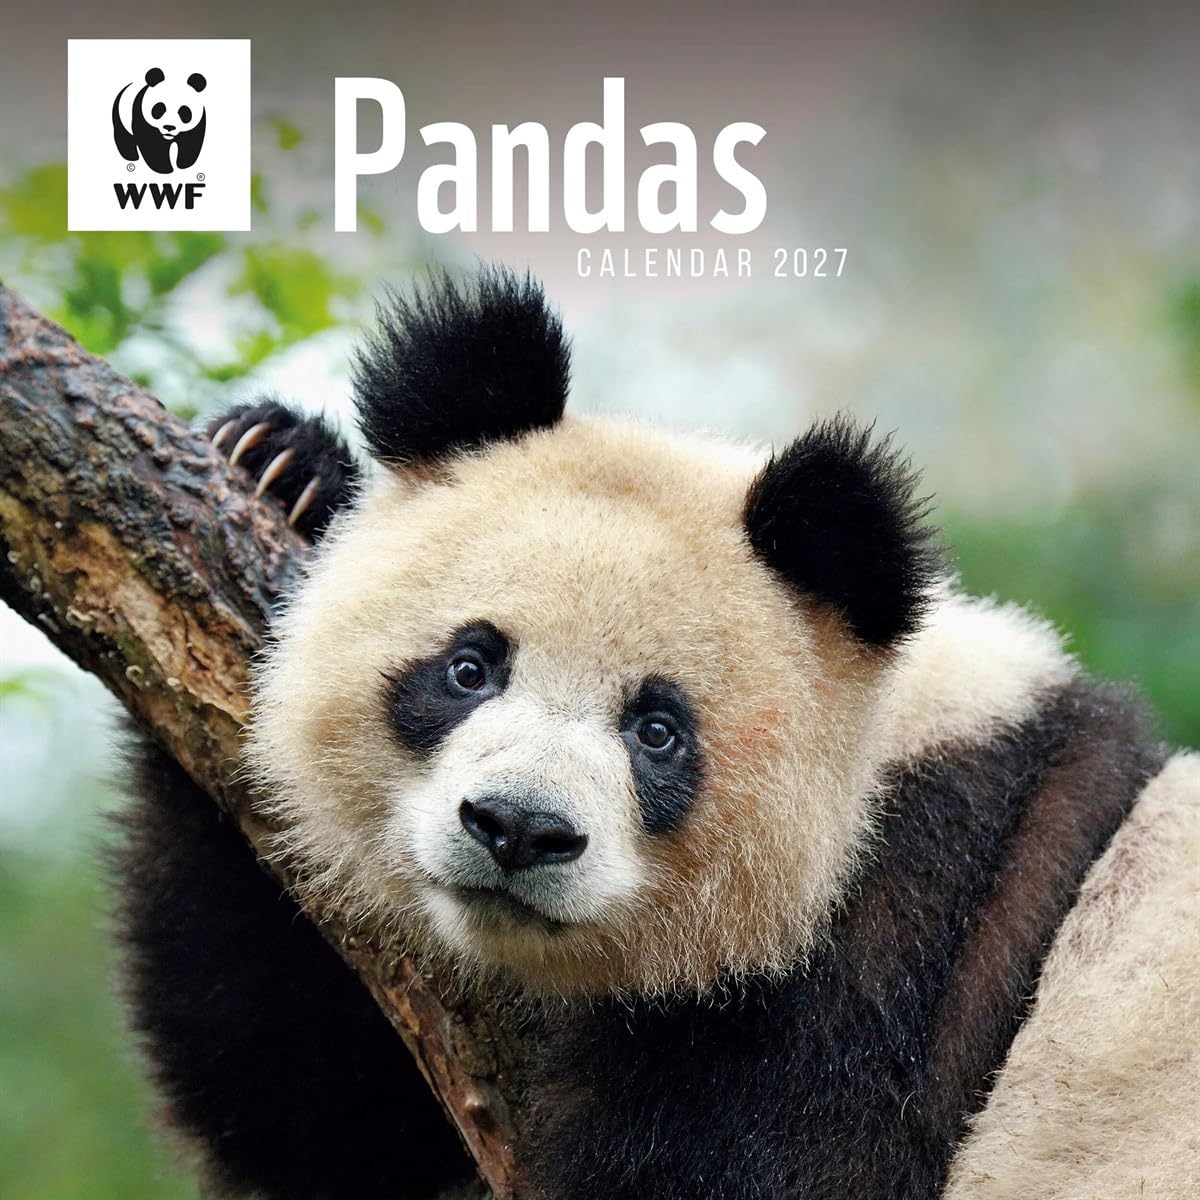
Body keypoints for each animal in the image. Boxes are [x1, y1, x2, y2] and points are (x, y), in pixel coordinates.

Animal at [115, 266, 1199, 1200]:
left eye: (658, 731)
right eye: (470, 668)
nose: (518, 830)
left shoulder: (902, 953)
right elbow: (317, 1106)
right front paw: (282, 463)